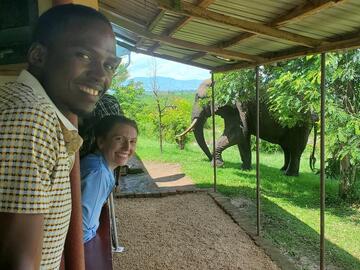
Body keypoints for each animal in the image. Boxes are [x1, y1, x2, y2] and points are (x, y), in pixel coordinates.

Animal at [178, 79, 318, 176]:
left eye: (199, 98)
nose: (208, 159)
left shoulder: (238, 106)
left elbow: (239, 133)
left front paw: (218, 166)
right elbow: (243, 138)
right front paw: (245, 169)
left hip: (299, 123)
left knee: (295, 148)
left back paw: (289, 175)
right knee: (286, 147)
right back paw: (282, 170)